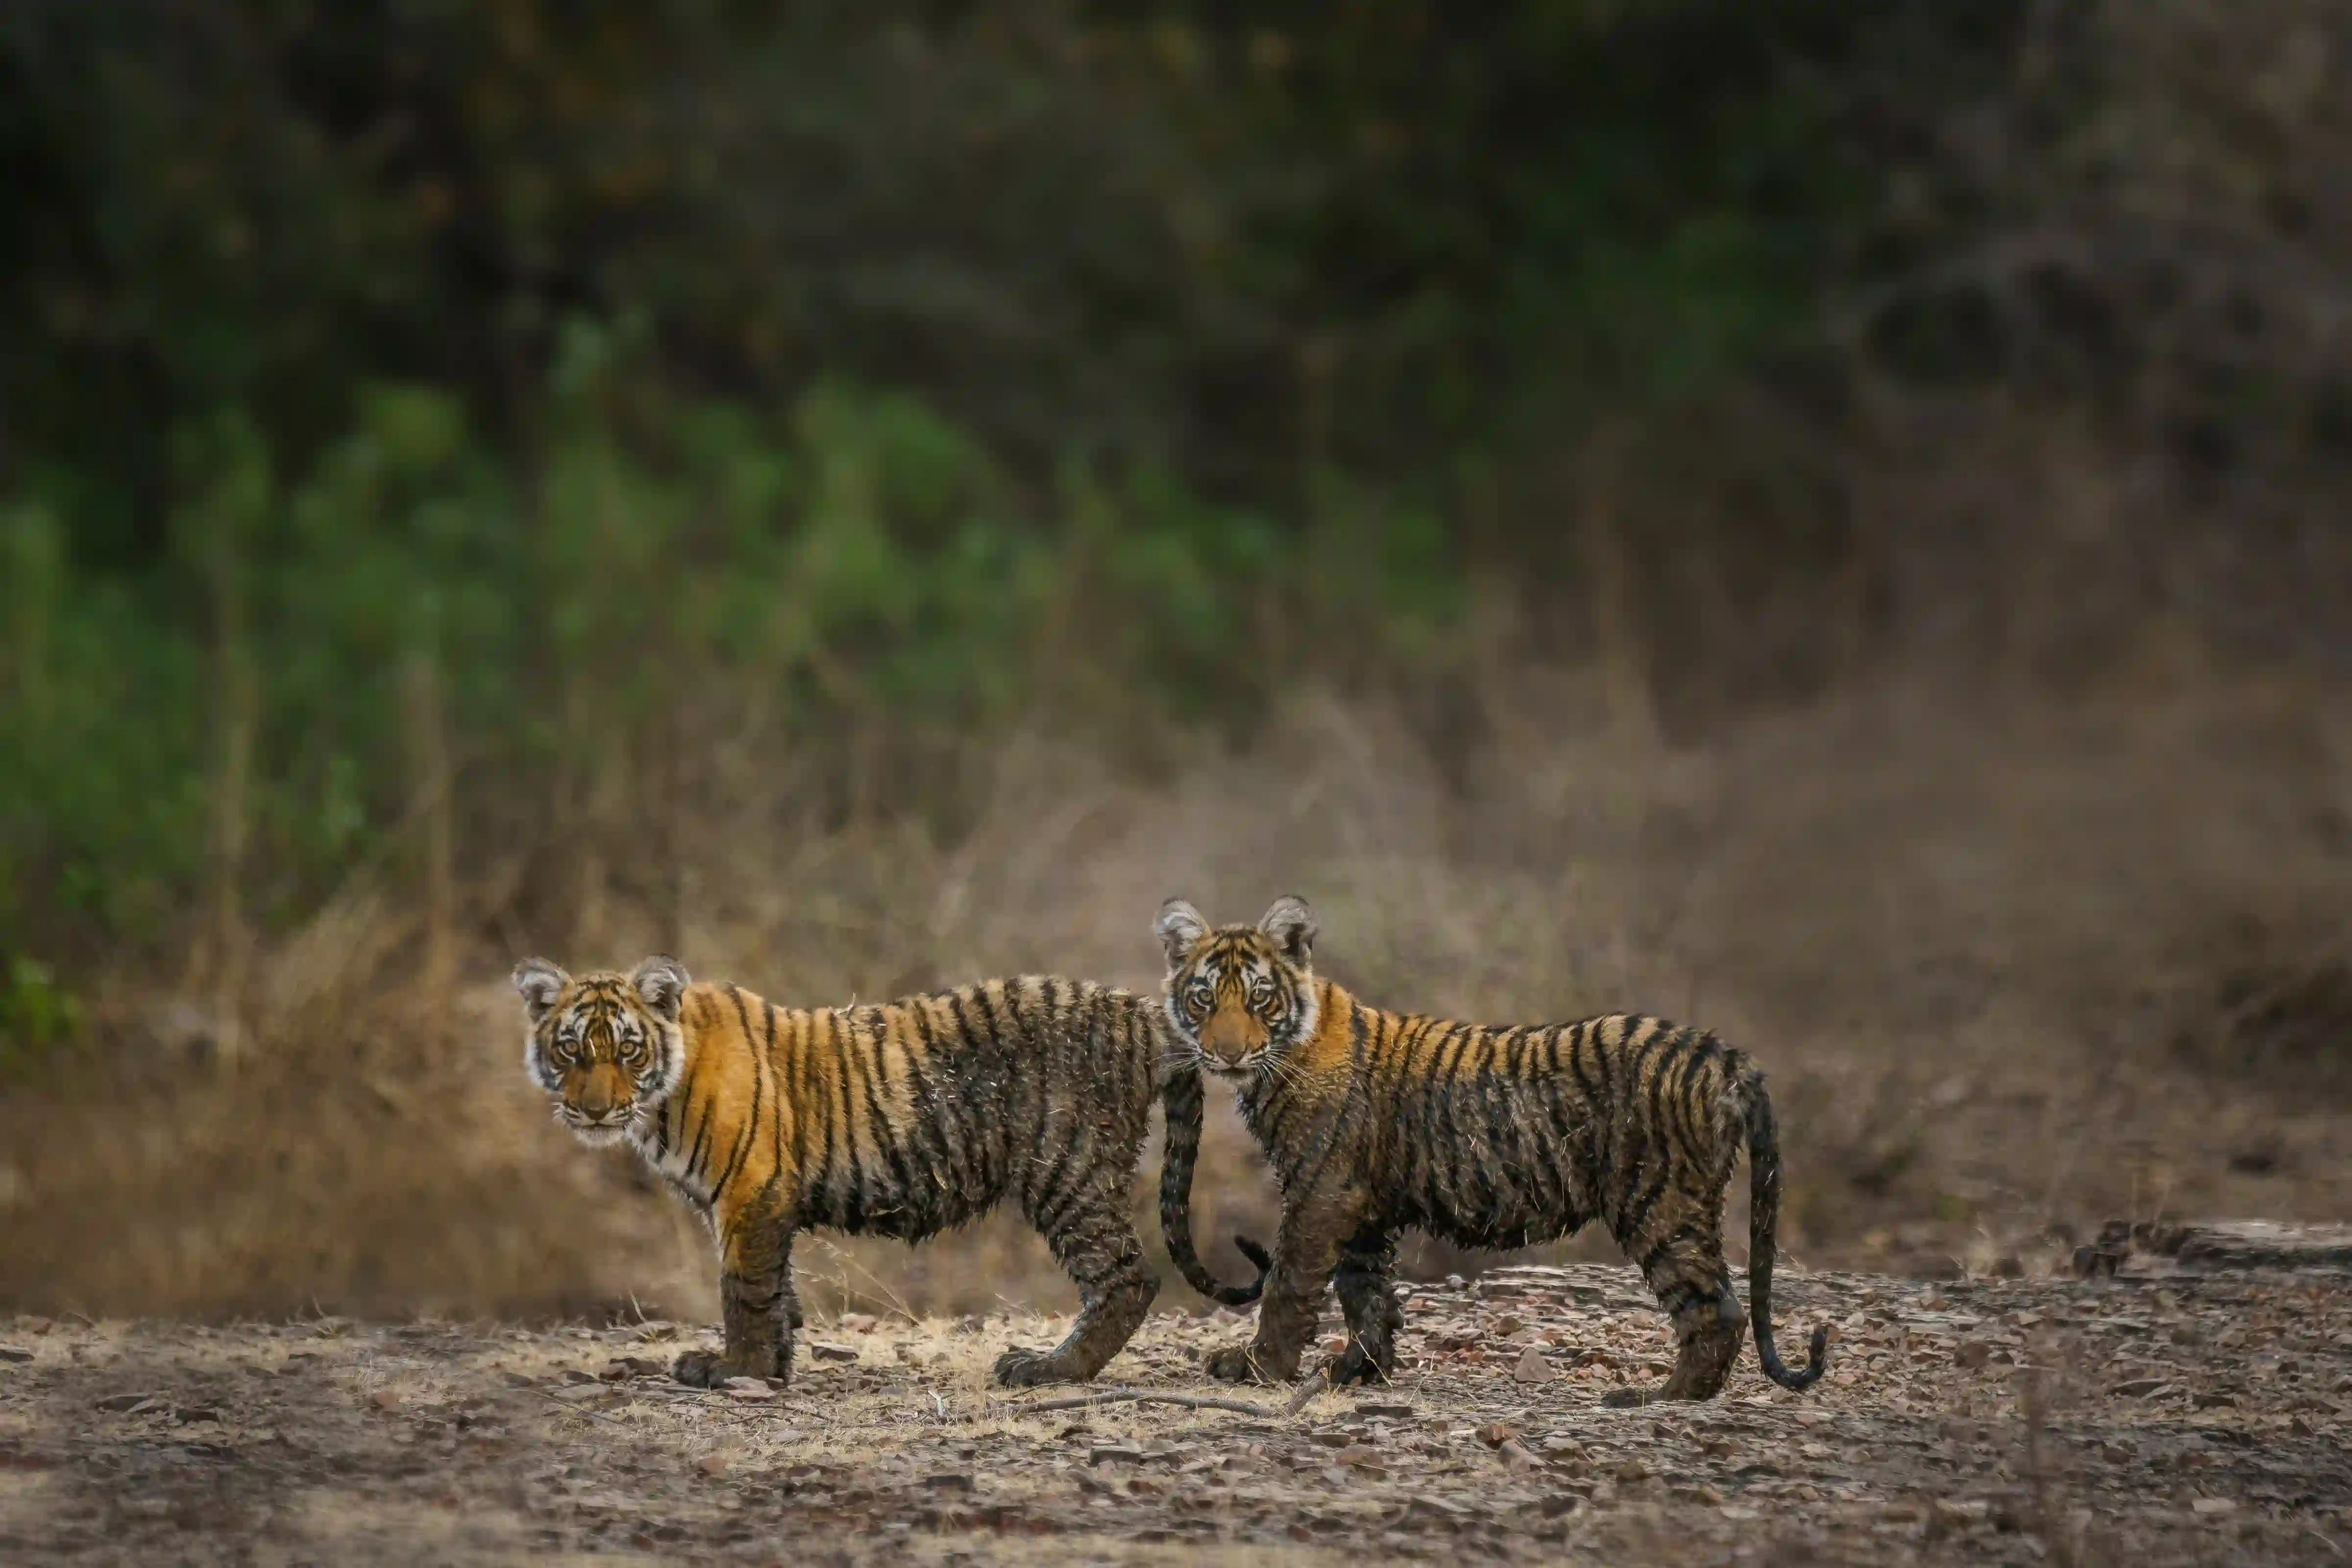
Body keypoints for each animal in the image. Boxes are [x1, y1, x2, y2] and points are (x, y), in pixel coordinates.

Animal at [512, 956, 1259, 1389]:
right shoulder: (762, 1201)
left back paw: (1048, 1369)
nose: (594, 1108)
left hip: (1067, 1169)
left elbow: (742, 1289)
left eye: (627, 1050)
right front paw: (774, 1364)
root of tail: (1143, 1013)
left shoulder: (750, 1189)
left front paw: (736, 1370)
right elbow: (775, 1288)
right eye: (571, 1048)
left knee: (1127, 1275)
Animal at [1153, 897, 1828, 1405]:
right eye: (1204, 998)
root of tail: (1722, 1053)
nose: (1230, 1052)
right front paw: (1357, 1371)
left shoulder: (1322, 1190)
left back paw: (1659, 1396)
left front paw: (1258, 1367)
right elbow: (1365, 1292)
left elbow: (1290, 1282)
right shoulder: (1362, 1205)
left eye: (1260, 997)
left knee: (1716, 1306)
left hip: (1660, 1199)